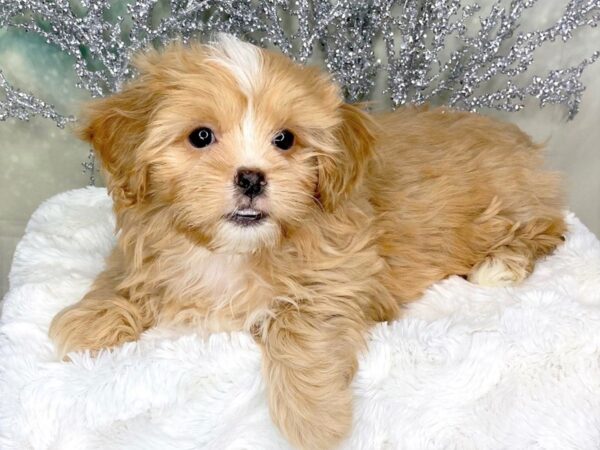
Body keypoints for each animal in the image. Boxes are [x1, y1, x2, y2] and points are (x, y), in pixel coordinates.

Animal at [49, 34, 564, 450]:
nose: (252, 178)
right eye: (201, 136)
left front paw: (314, 420)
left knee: (549, 229)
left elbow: (298, 325)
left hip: (505, 208)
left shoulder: (342, 275)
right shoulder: (147, 247)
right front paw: (90, 319)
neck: (232, 251)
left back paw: (502, 263)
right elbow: (123, 274)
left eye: (285, 139)